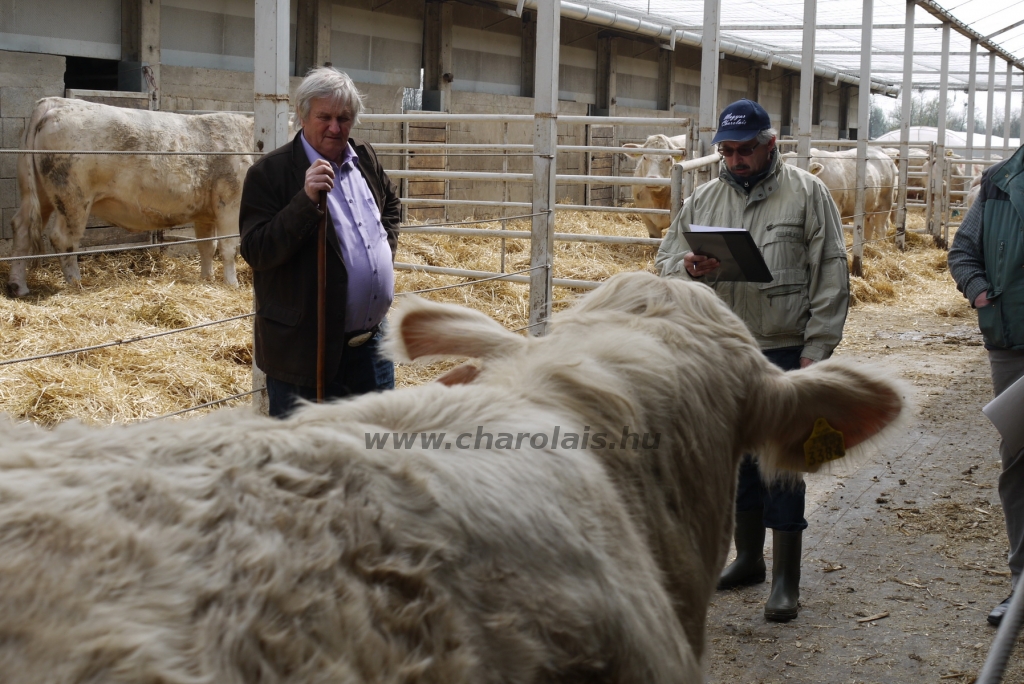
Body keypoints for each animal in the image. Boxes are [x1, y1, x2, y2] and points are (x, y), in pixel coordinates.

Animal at [9, 96, 256, 296]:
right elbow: (228, 247)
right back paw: (76, 284)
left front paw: (207, 279)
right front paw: (232, 284)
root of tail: (53, 103)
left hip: (37, 194)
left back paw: (18, 286)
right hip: (73, 198)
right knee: (63, 239)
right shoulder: (230, 203)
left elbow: (206, 247)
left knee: (21, 228)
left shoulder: (205, 214)